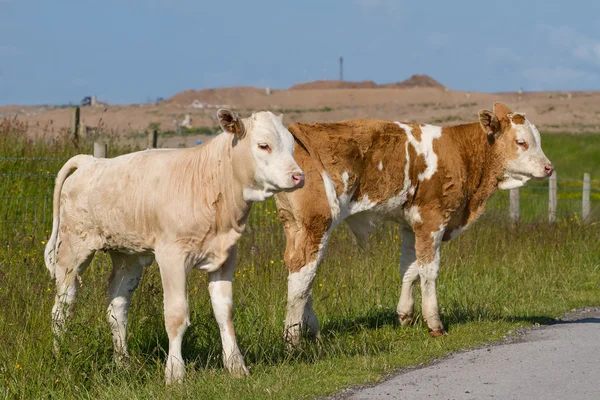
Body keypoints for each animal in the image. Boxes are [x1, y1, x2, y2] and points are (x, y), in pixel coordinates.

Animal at [44, 108, 304, 382]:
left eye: (291, 146)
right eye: (263, 145)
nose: (299, 177)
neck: (209, 182)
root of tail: (91, 161)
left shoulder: (225, 257)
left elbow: (225, 312)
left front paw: (235, 365)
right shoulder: (172, 257)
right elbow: (176, 314)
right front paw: (175, 372)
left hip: (127, 256)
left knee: (117, 308)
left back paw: (123, 363)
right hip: (72, 250)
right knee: (62, 306)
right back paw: (59, 355)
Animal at [276, 101, 552, 344]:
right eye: (521, 142)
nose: (549, 167)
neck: (460, 153)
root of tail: (297, 130)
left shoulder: (410, 224)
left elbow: (409, 269)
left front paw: (405, 315)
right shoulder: (432, 220)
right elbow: (429, 271)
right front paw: (435, 324)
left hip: (294, 224)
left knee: (299, 270)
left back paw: (312, 332)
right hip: (317, 223)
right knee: (303, 274)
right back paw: (293, 340)